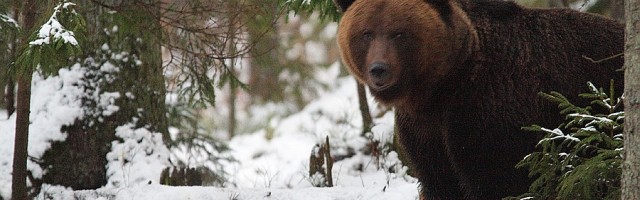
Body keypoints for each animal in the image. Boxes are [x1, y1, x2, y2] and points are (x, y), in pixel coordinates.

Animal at [332, 0, 624, 198]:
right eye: (366, 33)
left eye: (400, 33)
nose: (379, 69)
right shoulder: (424, 132)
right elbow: (438, 180)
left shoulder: (488, 115)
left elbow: (496, 180)